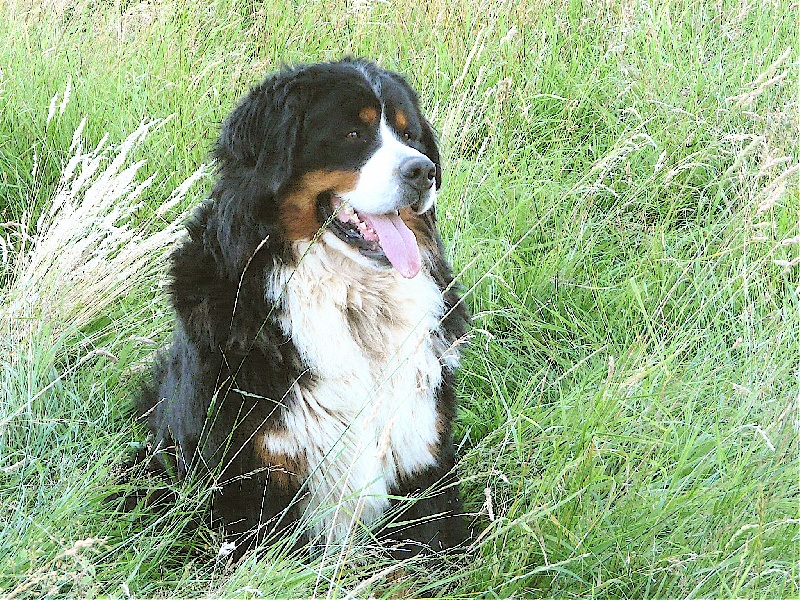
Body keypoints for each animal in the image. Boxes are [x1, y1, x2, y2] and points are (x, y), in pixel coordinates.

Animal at [139, 58, 468, 560]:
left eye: (409, 135)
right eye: (353, 134)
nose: (423, 171)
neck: (352, 303)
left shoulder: (421, 462)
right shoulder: (249, 485)